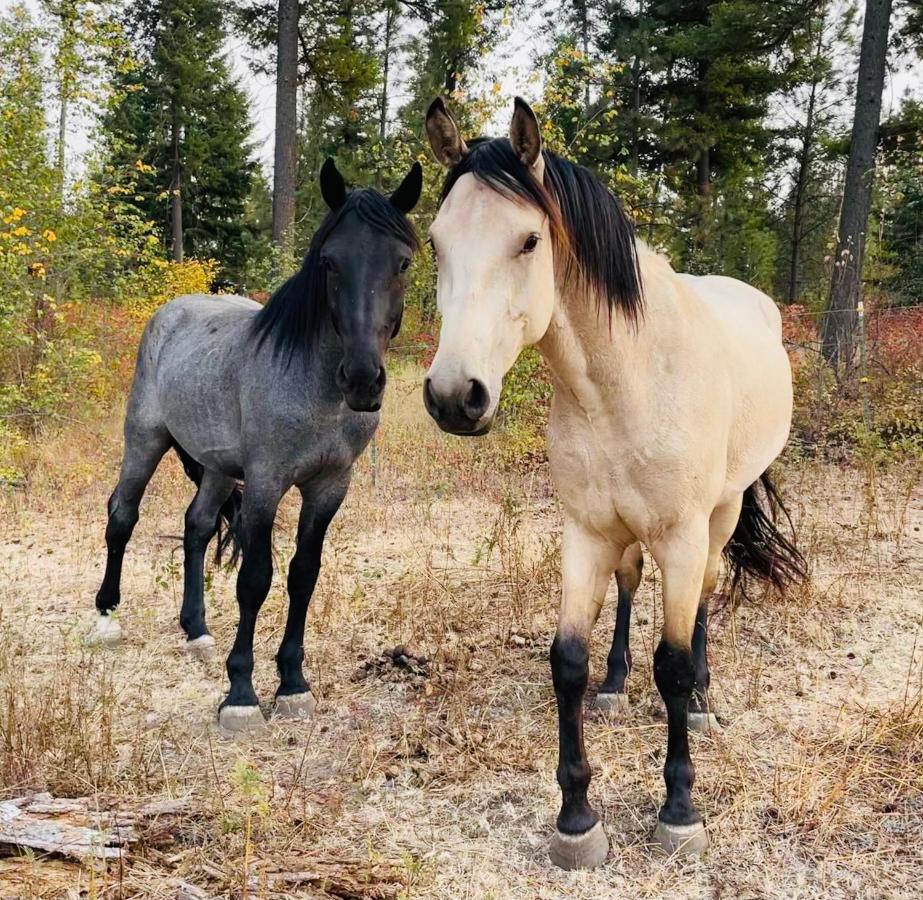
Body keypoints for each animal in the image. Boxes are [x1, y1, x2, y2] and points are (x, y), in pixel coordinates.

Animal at [90, 156, 422, 732]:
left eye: (401, 262)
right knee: (122, 514)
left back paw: (196, 629)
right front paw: (241, 694)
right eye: (329, 262)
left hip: (219, 467)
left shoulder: (329, 488)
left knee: (197, 526)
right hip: (145, 441)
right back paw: (107, 615)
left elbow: (303, 575)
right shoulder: (267, 483)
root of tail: (171, 312)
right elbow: (255, 579)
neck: (318, 391)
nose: (362, 379)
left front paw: (292, 684)